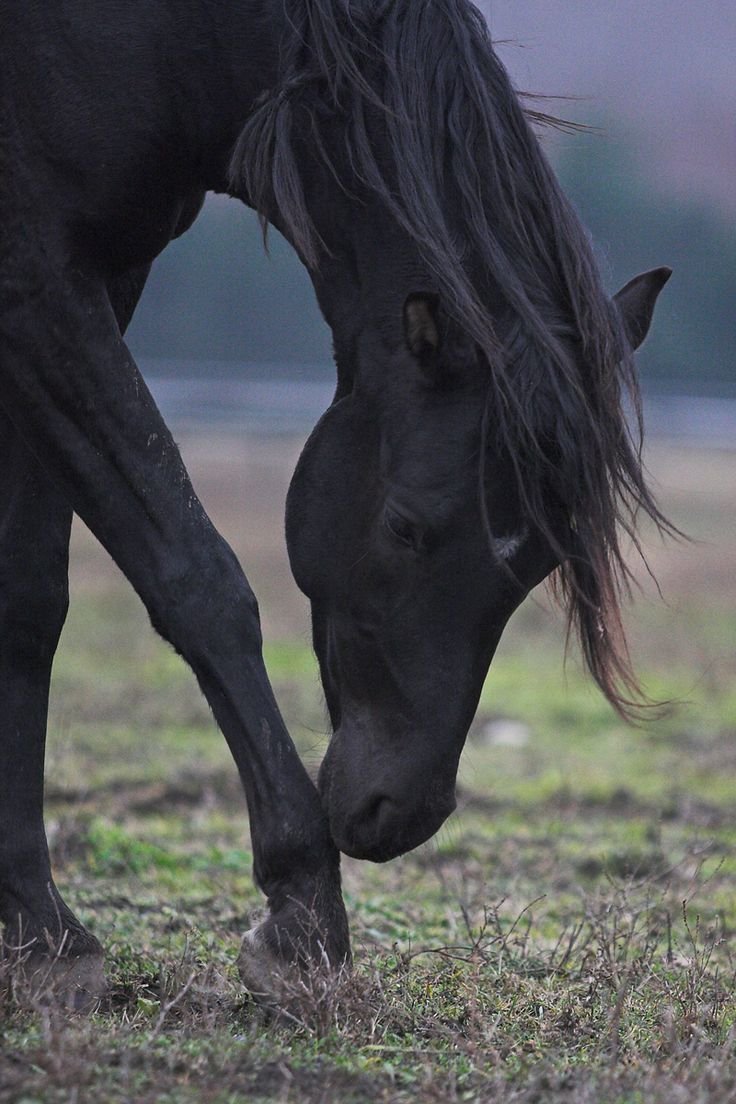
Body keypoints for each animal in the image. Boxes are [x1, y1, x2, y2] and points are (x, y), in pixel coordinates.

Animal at [0, 0, 670, 1002]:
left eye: (544, 558)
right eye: (405, 526)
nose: (401, 811)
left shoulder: (98, 275)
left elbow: (31, 600)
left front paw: (37, 929)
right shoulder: (37, 275)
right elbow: (196, 577)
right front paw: (303, 914)